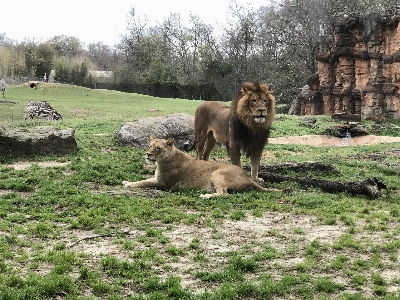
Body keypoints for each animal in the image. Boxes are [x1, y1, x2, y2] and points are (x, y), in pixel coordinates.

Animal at [122, 135, 276, 197]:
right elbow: (144, 179)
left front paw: (128, 184)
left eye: (158, 148)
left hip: (216, 173)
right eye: (150, 146)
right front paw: (126, 181)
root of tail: (248, 176)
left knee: (224, 193)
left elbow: (143, 183)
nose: (148, 154)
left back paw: (205, 196)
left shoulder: (162, 183)